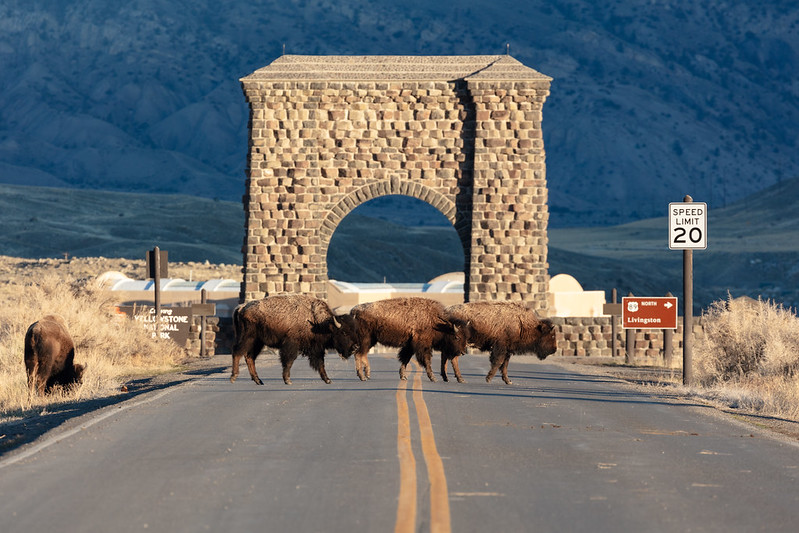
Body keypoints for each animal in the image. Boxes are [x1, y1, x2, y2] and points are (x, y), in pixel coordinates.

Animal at [230, 294, 358, 384]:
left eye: (353, 331)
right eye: (344, 333)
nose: (355, 347)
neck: (316, 321)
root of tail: (241, 308)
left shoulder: (316, 348)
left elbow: (321, 363)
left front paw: (327, 380)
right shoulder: (291, 345)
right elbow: (289, 361)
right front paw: (288, 380)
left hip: (258, 342)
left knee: (249, 357)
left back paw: (258, 380)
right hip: (248, 338)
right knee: (237, 352)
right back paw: (234, 377)